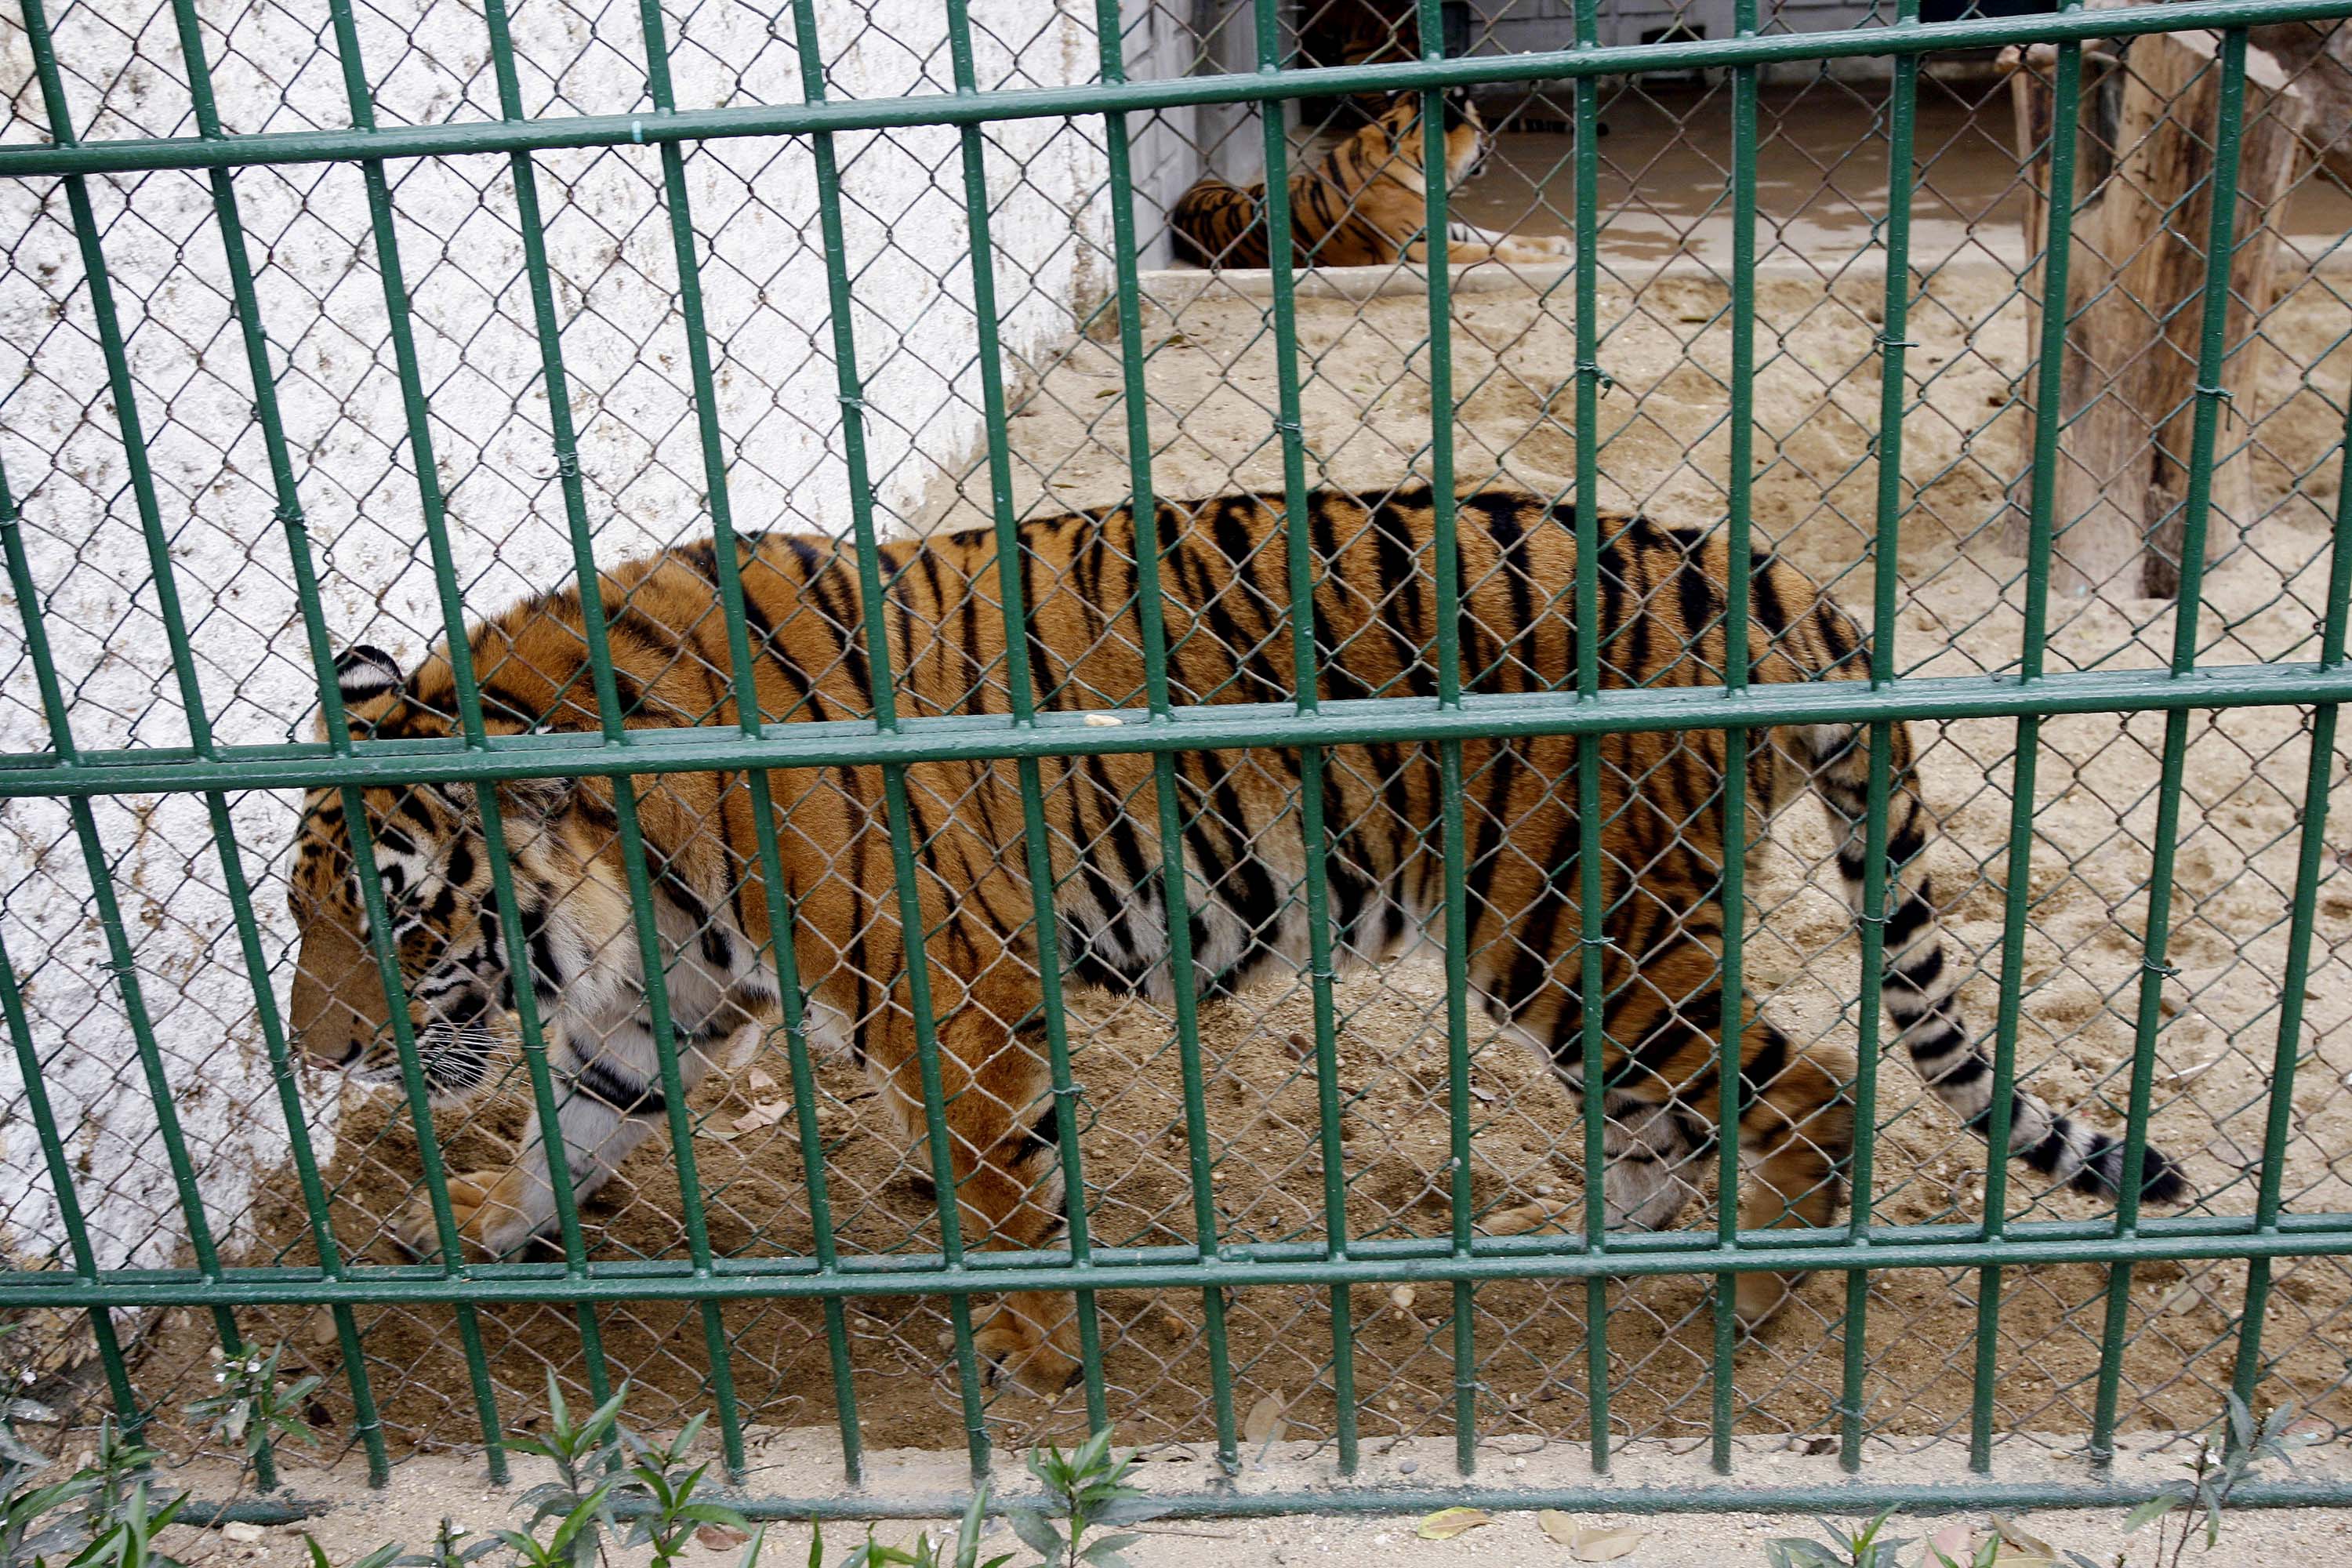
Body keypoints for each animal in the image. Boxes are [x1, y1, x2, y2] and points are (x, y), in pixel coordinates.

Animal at [286, 487, 2187, 1398]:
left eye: (389, 916)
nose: (322, 1053)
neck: (628, 860)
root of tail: (1766, 578)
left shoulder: (952, 1002)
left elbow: (1003, 1195)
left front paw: (1038, 1363)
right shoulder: (664, 1003)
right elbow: (569, 1123)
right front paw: (470, 1248)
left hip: (1586, 939)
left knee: (1814, 1099)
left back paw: (1747, 1308)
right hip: (1587, 962)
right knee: (1681, 1119)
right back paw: (1594, 1251)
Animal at [1169, 94, 1573, 269]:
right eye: (1480, 125)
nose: (1492, 140)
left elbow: (1498, 236)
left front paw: (1556, 243)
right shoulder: (1413, 247)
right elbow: (1492, 250)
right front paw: (1539, 259)